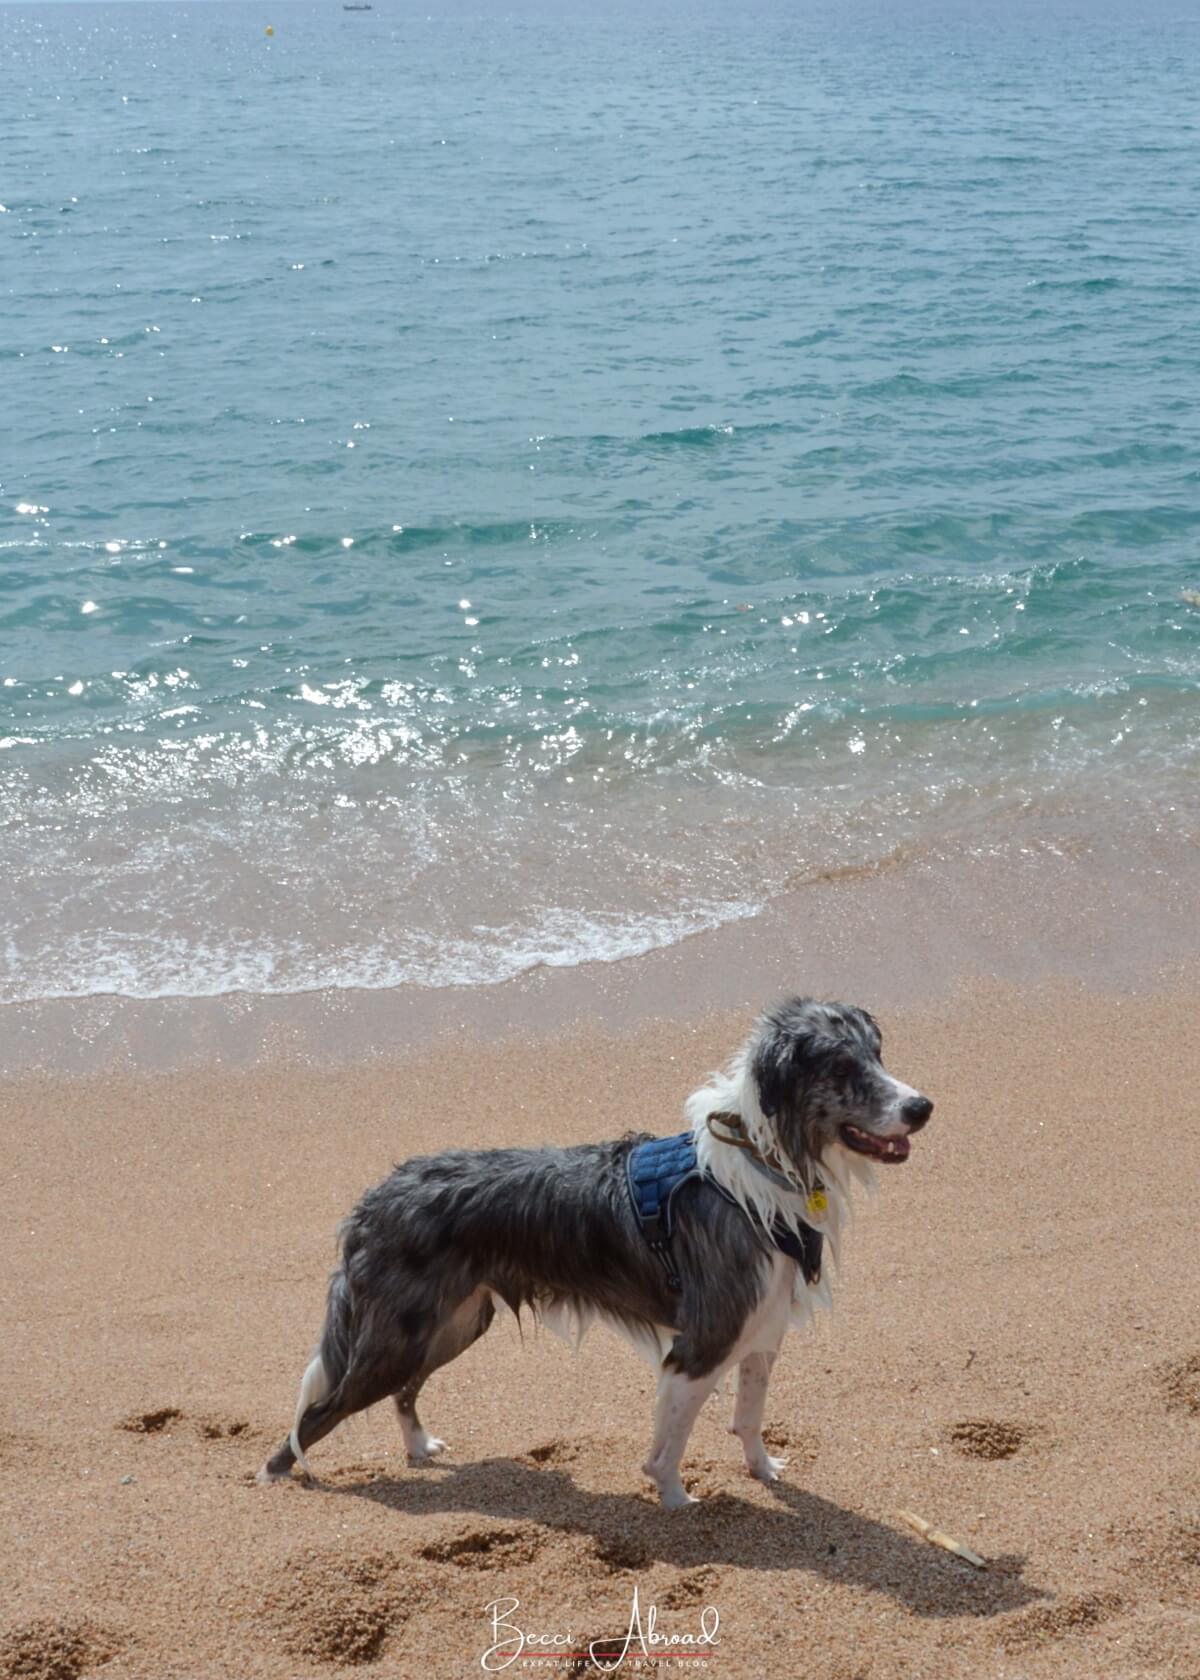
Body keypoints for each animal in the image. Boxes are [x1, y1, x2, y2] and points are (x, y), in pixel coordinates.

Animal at [258, 994, 927, 1512]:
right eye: (843, 1066)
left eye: (878, 1053)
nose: (922, 1107)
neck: (758, 1165)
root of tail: (374, 1198)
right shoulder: (701, 1343)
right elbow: (670, 1445)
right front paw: (677, 1502)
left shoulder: (760, 1328)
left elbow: (749, 1416)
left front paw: (762, 1470)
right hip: (401, 1335)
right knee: (320, 1410)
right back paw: (272, 1475)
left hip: (452, 1324)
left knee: (402, 1391)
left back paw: (419, 1447)